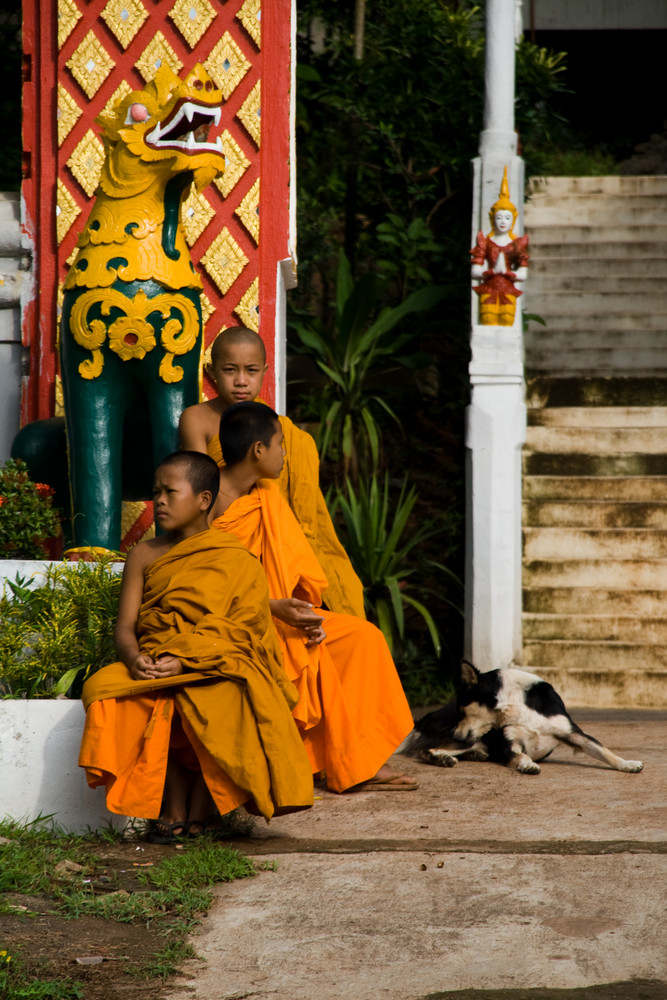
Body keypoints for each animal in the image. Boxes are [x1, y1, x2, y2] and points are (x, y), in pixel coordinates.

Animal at [400, 660, 644, 776]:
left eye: (462, 710)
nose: (455, 732)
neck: (516, 707)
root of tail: (424, 718)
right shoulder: (510, 744)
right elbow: (521, 756)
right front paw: (527, 765)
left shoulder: (574, 734)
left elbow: (604, 751)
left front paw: (627, 764)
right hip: (466, 740)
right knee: (425, 751)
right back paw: (444, 759)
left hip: (470, 740)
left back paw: (474, 755)